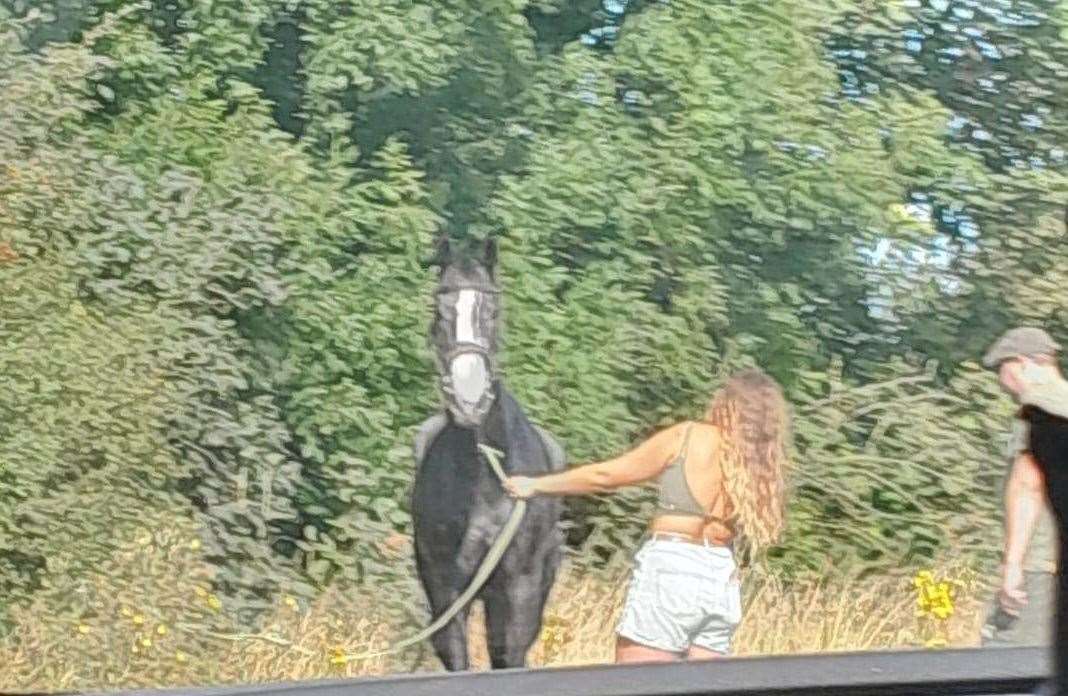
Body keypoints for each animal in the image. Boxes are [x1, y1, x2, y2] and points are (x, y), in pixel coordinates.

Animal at [410, 236, 568, 670]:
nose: (470, 400)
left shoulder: (518, 588)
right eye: (439, 309)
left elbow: (509, 654)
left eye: (493, 311)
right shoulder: (445, 587)